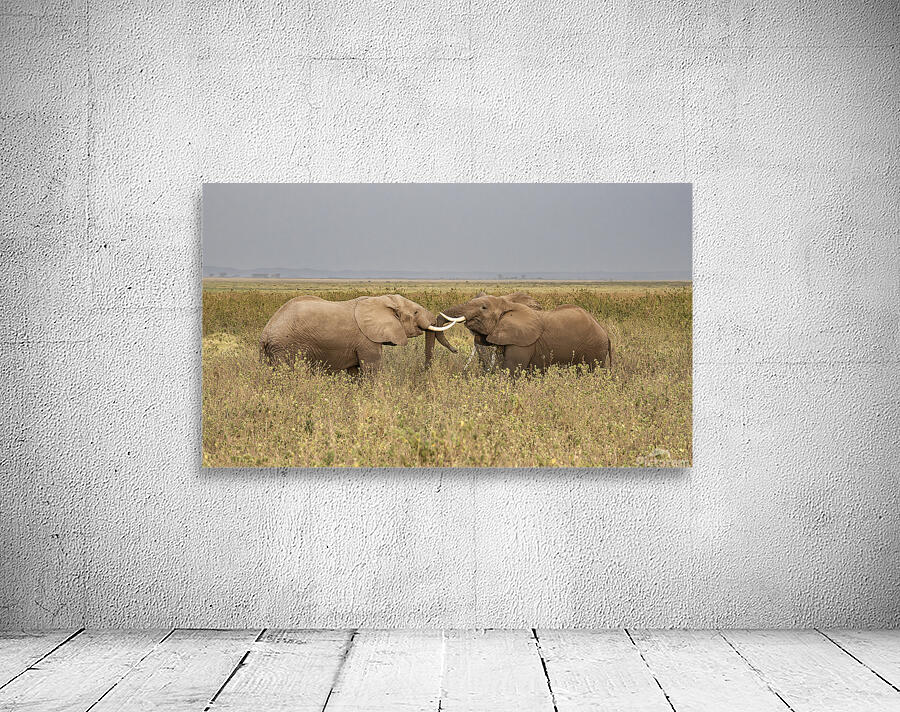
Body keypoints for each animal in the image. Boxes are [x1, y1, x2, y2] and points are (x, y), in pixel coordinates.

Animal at [259, 294, 457, 374]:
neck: (380, 299)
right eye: (415, 313)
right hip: (286, 347)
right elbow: (371, 370)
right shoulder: (366, 340)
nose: (456, 351)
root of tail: (265, 334)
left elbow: (355, 372)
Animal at [438, 294, 612, 372]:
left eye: (483, 307)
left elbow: (512, 369)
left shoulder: (522, 341)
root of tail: (605, 333)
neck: (507, 304)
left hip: (595, 349)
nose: (455, 350)